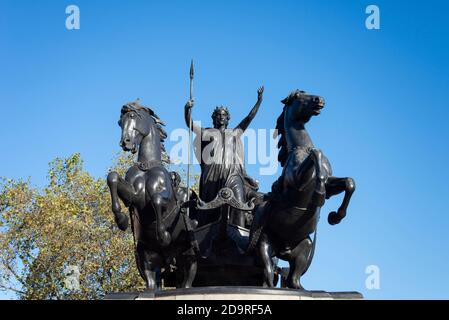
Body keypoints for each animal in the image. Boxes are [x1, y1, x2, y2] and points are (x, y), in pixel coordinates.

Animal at [106, 99, 197, 290]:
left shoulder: (164, 197)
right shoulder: (135, 197)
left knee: (188, 277)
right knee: (151, 281)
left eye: (133, 116)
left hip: (188, 253)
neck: (146, 167)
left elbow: (156, 199)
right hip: (146, 255)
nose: (125, 143)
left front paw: (163, 235)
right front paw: (121, 220)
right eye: (119, 122)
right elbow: (113, 178)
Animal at [247, 90, 356, 290]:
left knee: (293, 280)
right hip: (265, 245)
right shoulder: (297, 180)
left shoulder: (331, 184)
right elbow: (316, 154)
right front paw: (318, 196)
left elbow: (349, 183)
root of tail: (283, 250)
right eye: (298, 97)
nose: (320, 99)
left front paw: (335, 217)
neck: (302, 148)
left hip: (305, 248)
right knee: (268, 274)